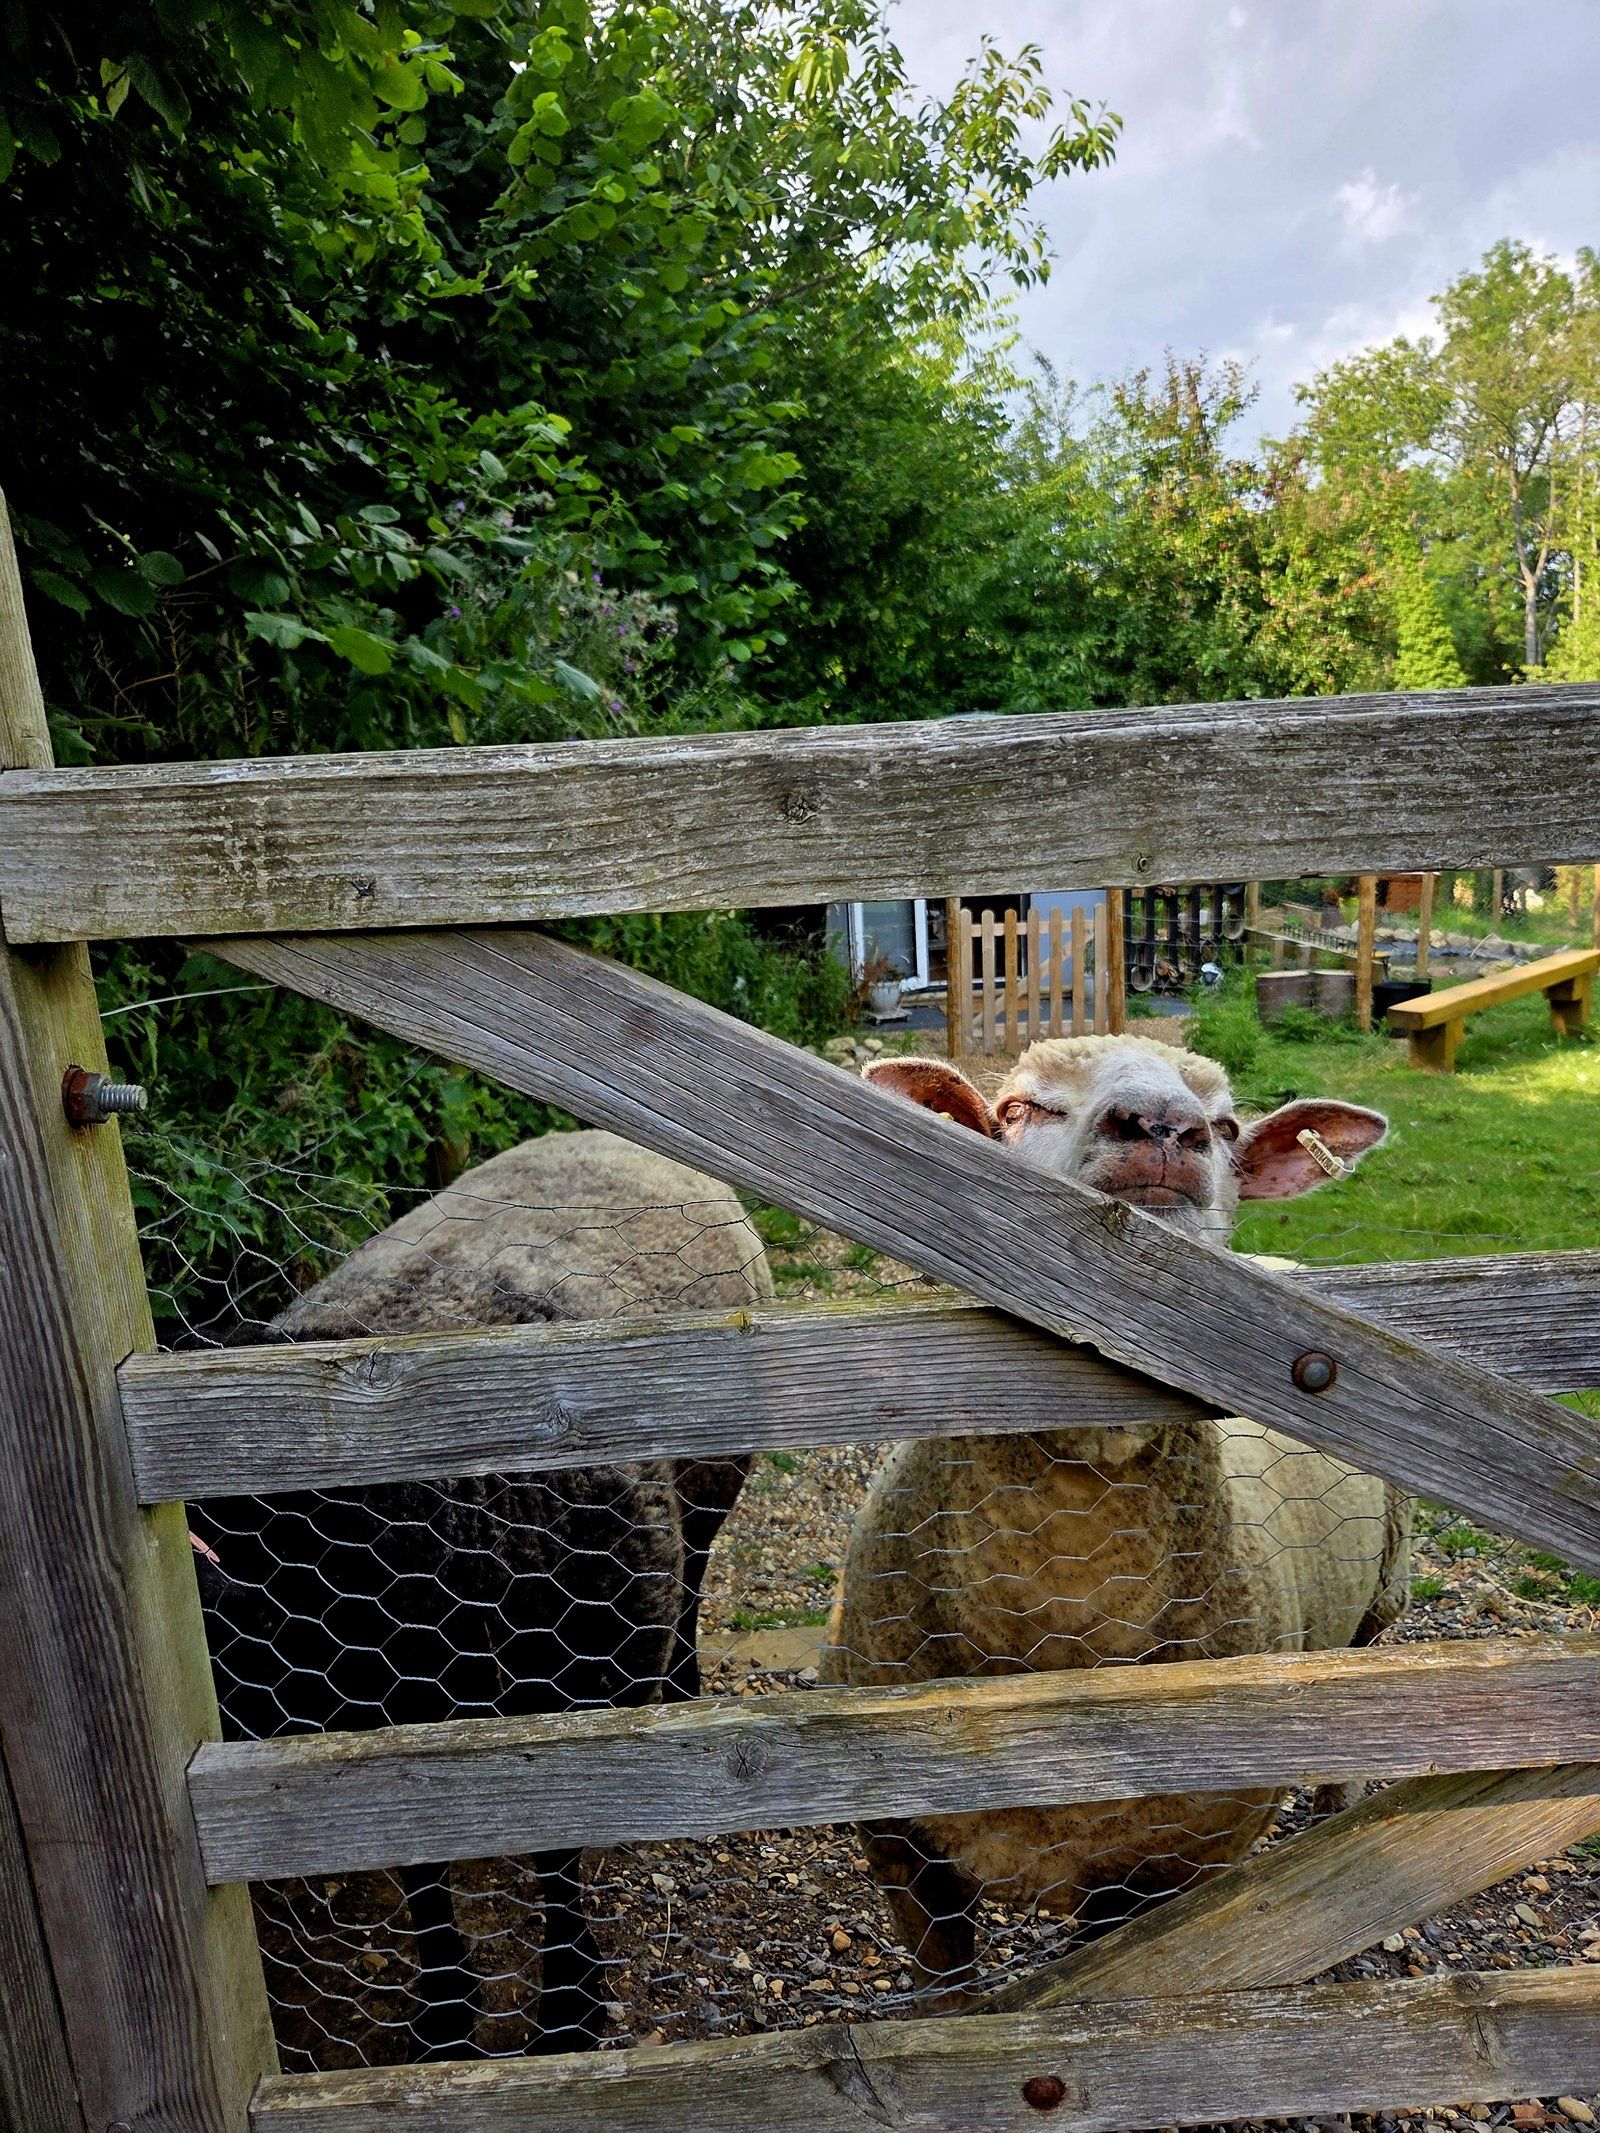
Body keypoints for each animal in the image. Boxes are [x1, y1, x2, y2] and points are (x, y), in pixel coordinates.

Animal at [191, 1128, 770, 2063]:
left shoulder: (577, 1687)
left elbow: (557, 1859)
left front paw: (569, 2007)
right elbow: (425, 1878)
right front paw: (444, 2018)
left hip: (714, 1485)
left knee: (696, 1581)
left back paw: (684, 1686)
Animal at [819, 1034, 1406, 2006]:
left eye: (1228, 1126)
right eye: (1019, 1107)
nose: (1163, 1128)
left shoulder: (1174, 1866)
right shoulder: (904, 1850)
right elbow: (947, 1995)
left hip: (1382, 1595)